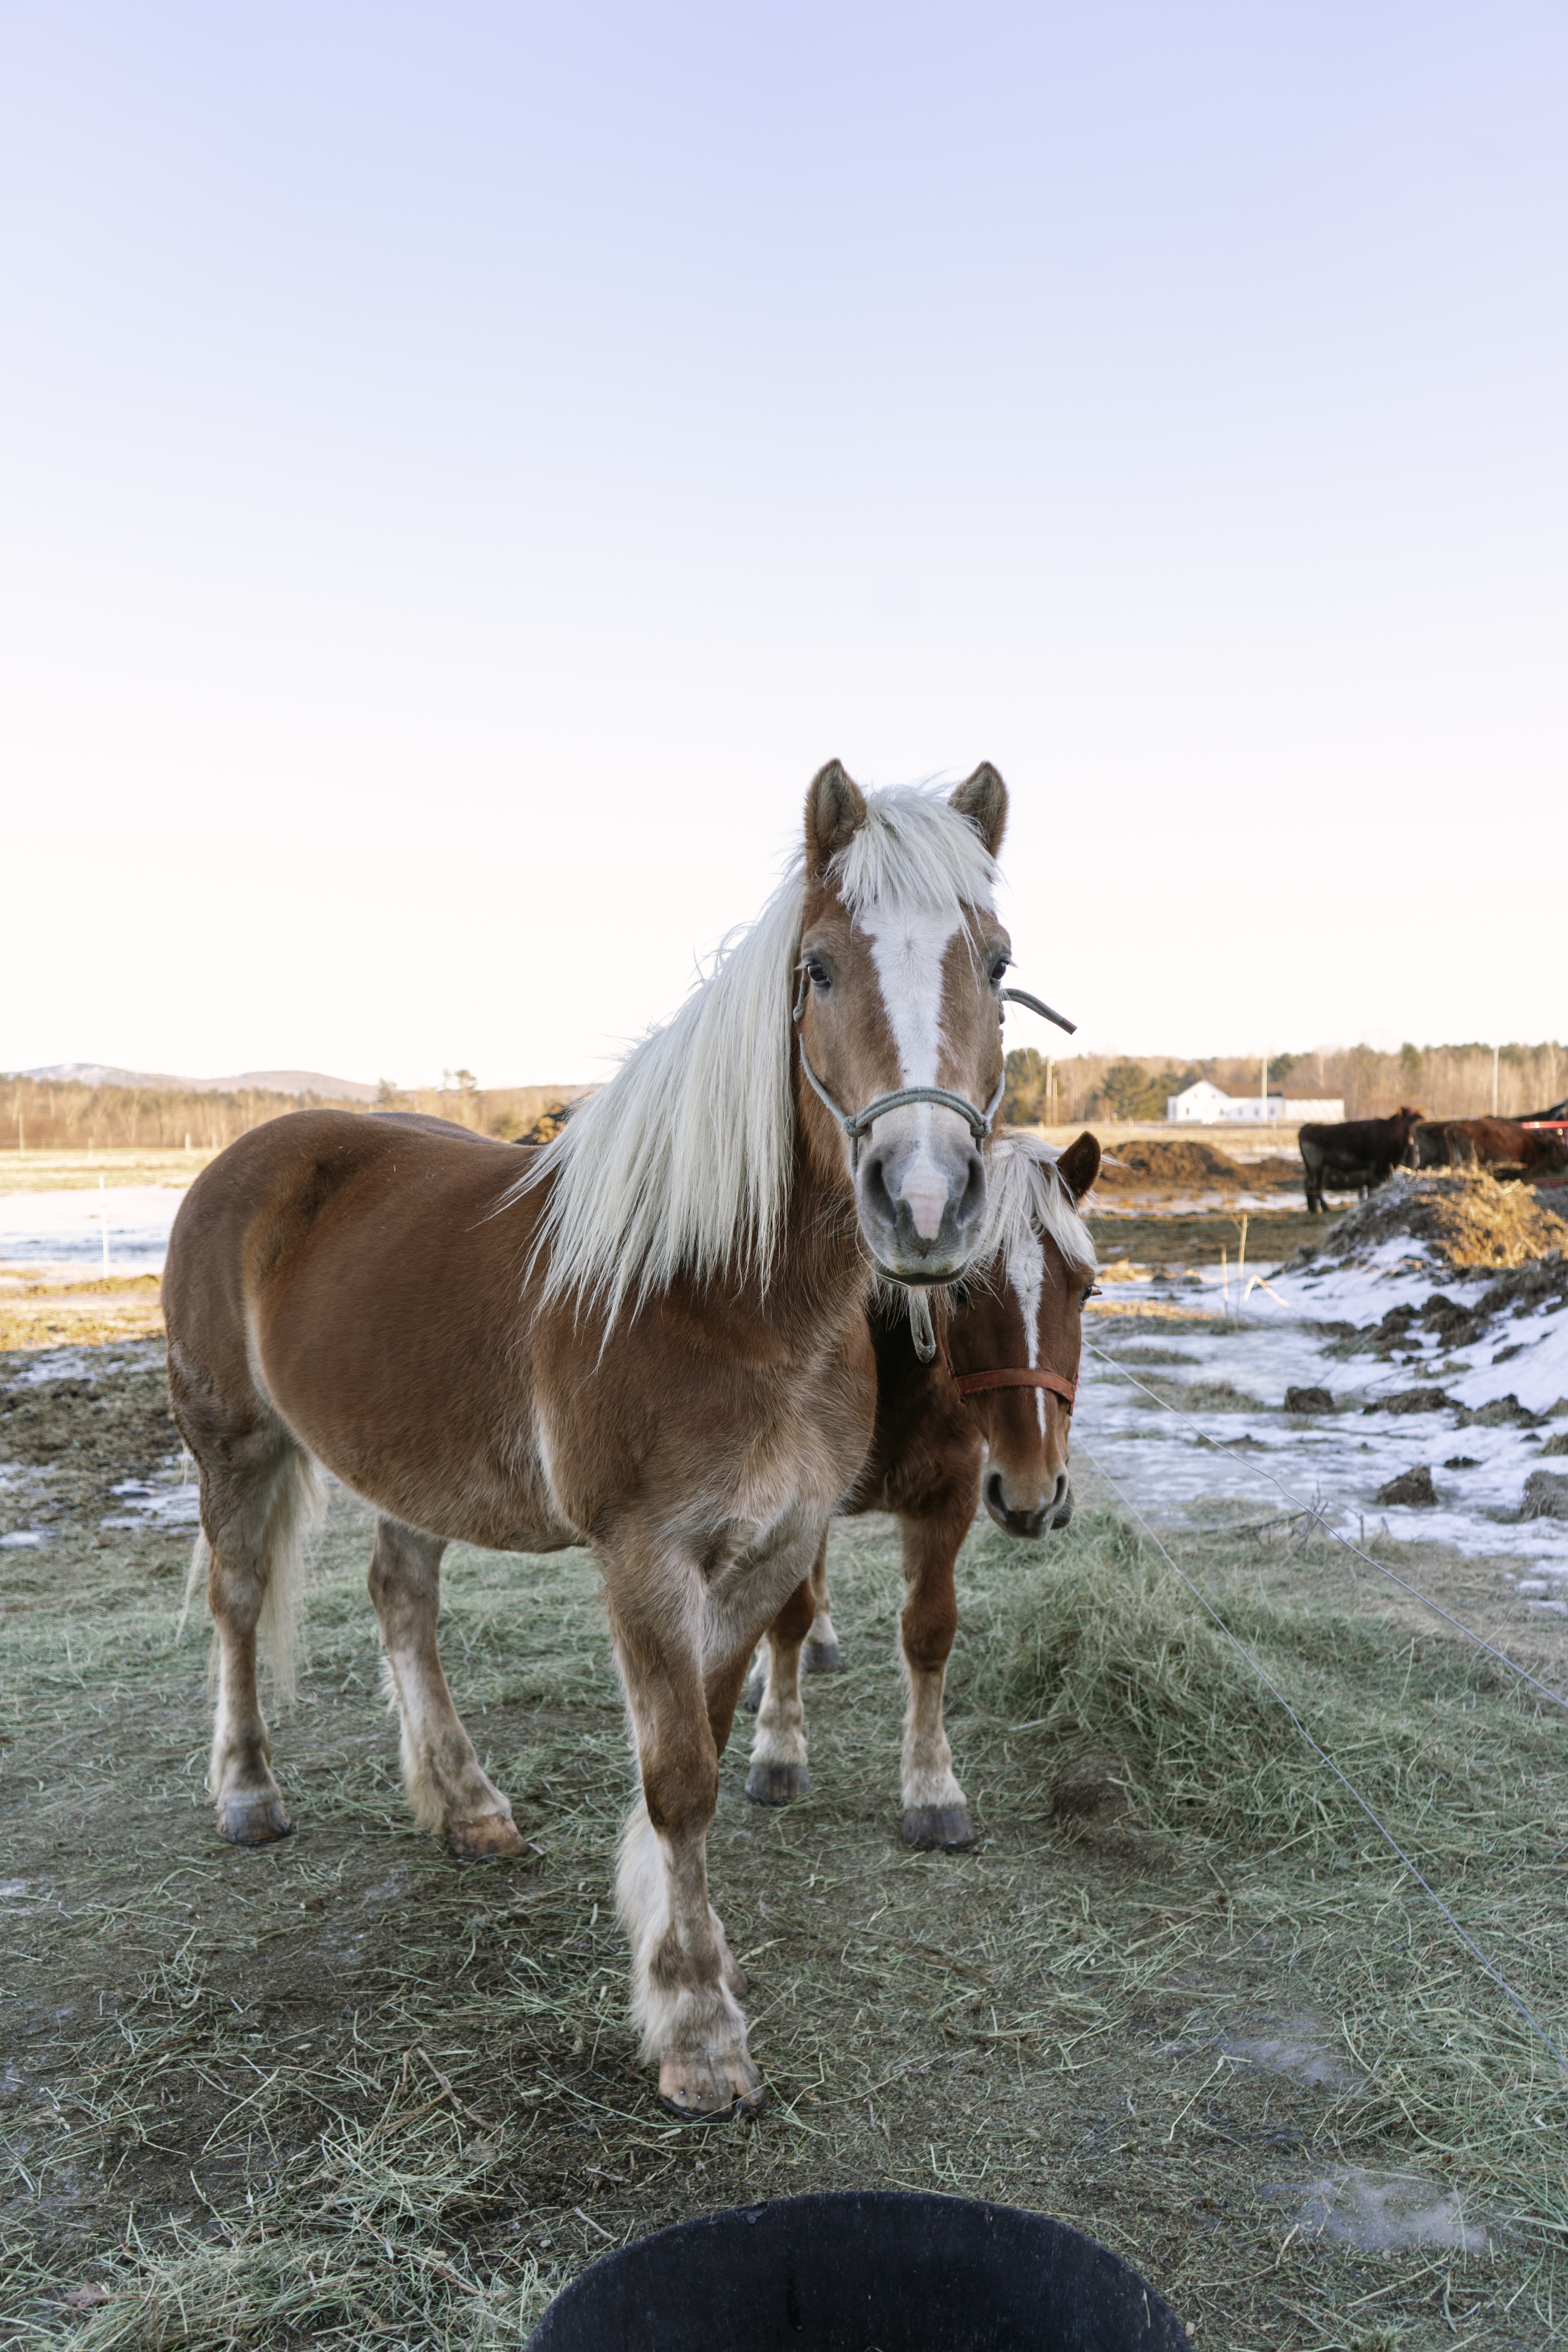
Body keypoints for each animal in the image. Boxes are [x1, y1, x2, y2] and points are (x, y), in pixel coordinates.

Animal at [165, 762, 1011, 2126]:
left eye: (996, 961)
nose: (924, 1201)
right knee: (240, 1602)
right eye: (819, 967)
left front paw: (670, 1949)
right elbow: (679, 1776)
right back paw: (249, 1793)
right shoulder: (646, 1559)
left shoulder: (773, 1550)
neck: (723, 1295)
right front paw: (698, 2026)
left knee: (401, 1602)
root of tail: (251, 1155)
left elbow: (708, 1739)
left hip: (408, 1466)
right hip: (231, 1443)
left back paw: (467, 1807)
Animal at [748, 1129, 1100, 1844]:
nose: (1034, 1492)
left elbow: (930, 1633)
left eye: (1085, 1292)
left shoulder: (952, 1496)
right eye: (959, 1292)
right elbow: (786, 1617)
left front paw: (933, 1788)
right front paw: (779, 1747)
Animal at [1298, 1101, 1429, 1214]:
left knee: (1310, 1184)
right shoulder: (1378, 1163)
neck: (1390, 1132)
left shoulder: (1388, 1164)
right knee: (1315, 1185)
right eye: (1411, 1115)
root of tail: (1309, 1127)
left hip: (1316, 1167)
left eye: (1419, 1112)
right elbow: (1377, 1183)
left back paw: (1314, 1209)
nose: (1424, 1119)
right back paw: (1322, 1209)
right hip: (1317, 1165)